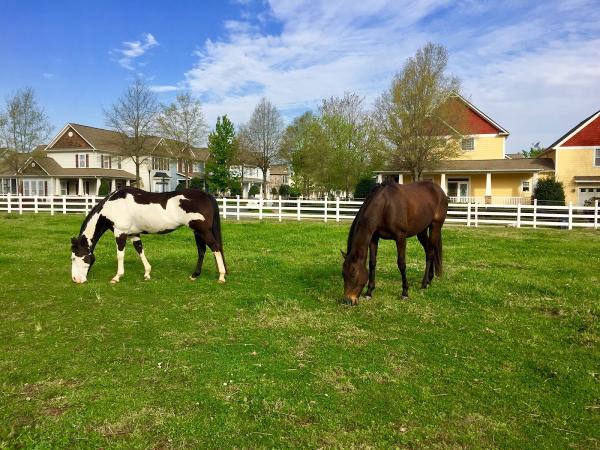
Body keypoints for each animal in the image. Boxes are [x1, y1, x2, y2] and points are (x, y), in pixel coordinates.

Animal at [70, 186, 225, 284]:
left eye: (74, 258)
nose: (75, 280)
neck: (113, 206)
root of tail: (206, 195)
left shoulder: (120, 233)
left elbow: (120, 255)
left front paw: (117, 277)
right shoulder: (134, 234)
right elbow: (140, 251)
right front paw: (147, 273)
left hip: (203, 231)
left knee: (215, 247)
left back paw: (221, 277)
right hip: (197, 232)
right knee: (202, 250)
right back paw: (195, 275)